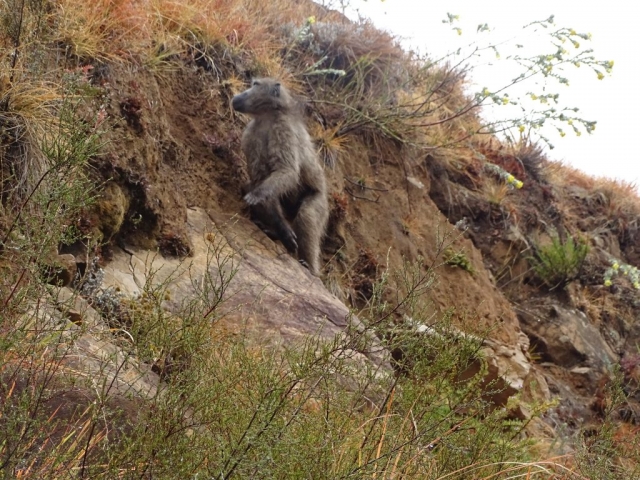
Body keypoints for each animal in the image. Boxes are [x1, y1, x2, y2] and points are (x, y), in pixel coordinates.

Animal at [232, 78, 329, 276]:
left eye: (254, 84)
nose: (238, 95)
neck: (267, 116)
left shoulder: (283, 128)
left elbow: (287, 171)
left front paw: (257, 195)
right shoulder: (251, 134)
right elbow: (260, 177)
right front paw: (283, 230)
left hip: (320, 201)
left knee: (307, 215)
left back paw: (309, 267)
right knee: (250, 186)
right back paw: (275, 231)